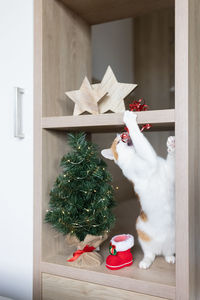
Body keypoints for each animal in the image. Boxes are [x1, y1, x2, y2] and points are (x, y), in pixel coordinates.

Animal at [101, 110, 175, 270]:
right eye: (117, 142)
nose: (124, 134)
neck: (133, 157)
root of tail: (160, 248)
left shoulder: (169, 172)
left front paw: (172, 146)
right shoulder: (149, 161)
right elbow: (141, 141)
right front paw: (129, 119)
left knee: (166, 253)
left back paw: (170, 258)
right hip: (140, 229)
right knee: (149, 254)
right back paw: (145, 262)